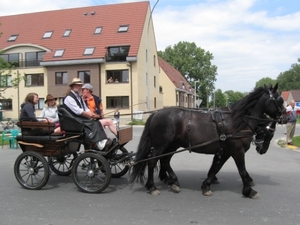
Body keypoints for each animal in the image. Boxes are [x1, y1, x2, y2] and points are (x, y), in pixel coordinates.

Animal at [130, 84, 288, 199]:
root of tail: (156, 113)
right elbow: (242, 171)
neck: (238, 121)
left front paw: (206, 185)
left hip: (172, 145)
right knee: (152, 162)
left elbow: (215, 168)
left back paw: (173, 181)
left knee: (165, 161)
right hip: (161, 145)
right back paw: (152, 187)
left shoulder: (224, 152)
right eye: (279, 100)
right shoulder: (237, 151)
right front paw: (249, 191)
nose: (286, 118)